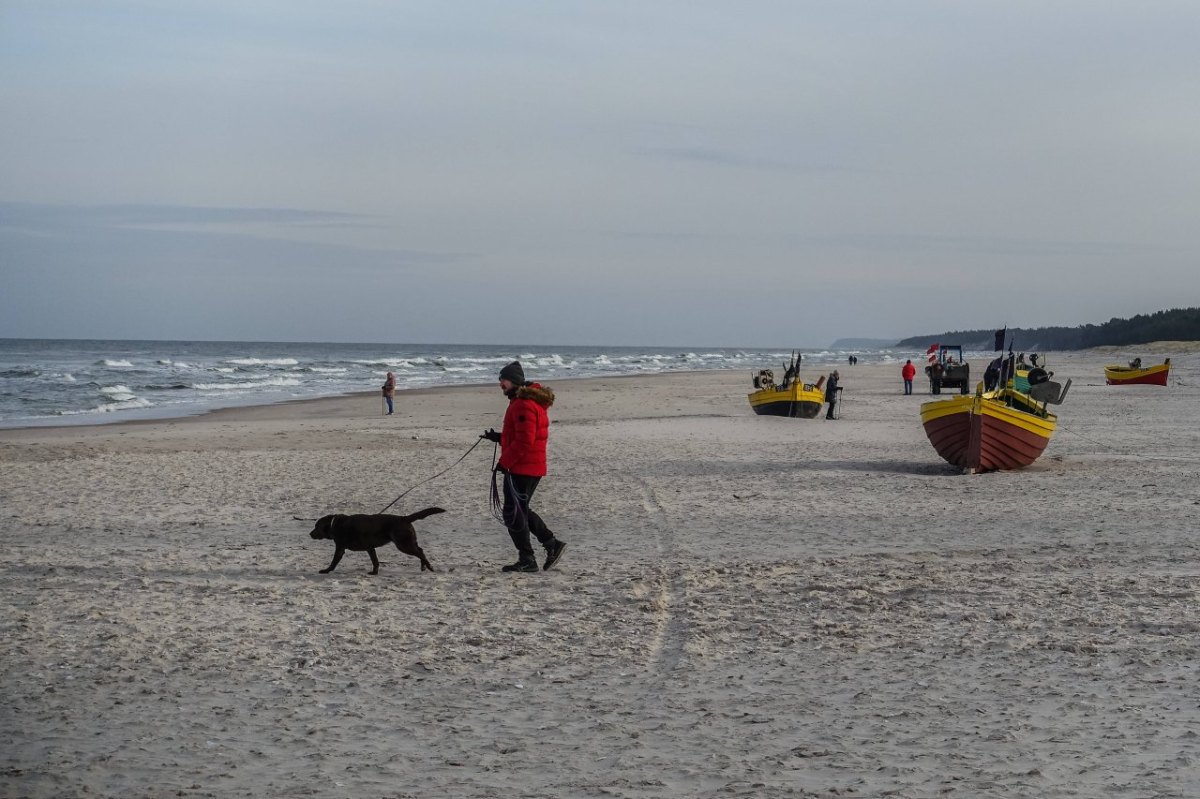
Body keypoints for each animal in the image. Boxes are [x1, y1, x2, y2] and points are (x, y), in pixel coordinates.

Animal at [307, 503, 444, 573]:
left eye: (316, 526)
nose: (310, 534)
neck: (333, 524)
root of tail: (404, 518)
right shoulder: (370, 548)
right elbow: (375, 561)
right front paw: (374, 572)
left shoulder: (340, 548)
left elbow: (334, 561)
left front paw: (326, 570)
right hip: (408, 542)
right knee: (420, 550)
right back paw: (423, 567)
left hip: (403, 544)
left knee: (420, 553)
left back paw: (430, 567)